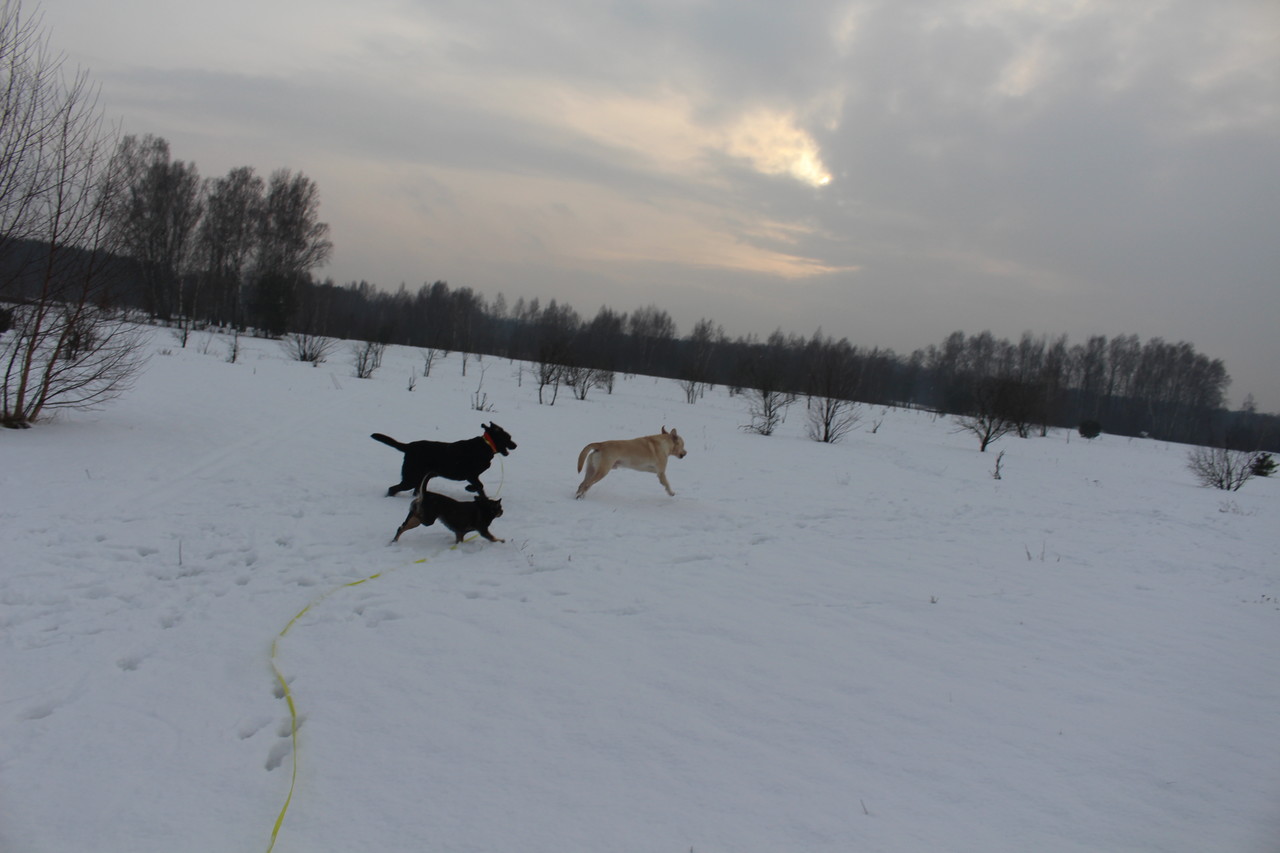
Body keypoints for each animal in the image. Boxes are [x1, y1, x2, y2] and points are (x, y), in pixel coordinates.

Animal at [371, 422, 516, 497]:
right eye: (508, 437)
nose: (516, 445)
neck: (486, 445)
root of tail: (409, 446)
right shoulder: (471, 475)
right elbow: (480, 486)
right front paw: (469, 488)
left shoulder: (473, 476)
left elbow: (481, 488)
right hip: (412, 477)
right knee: (392, 489)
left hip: (421, 477)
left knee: (415, 491)